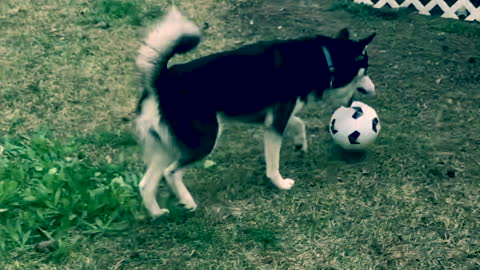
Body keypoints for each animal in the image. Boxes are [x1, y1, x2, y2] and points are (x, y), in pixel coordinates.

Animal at [134, 6, 376, 217]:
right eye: (365, 70)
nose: (373, 89)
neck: (323, 60)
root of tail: (161, 81)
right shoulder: (275, 122)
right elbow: (273, 162)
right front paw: (280, 184)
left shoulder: (274, 118)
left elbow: (299, 122)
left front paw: (300, 144)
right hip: (204, 140)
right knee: (171, 172)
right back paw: (187, 202)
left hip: (167, 145)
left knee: (146, 184)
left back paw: (157, 214)